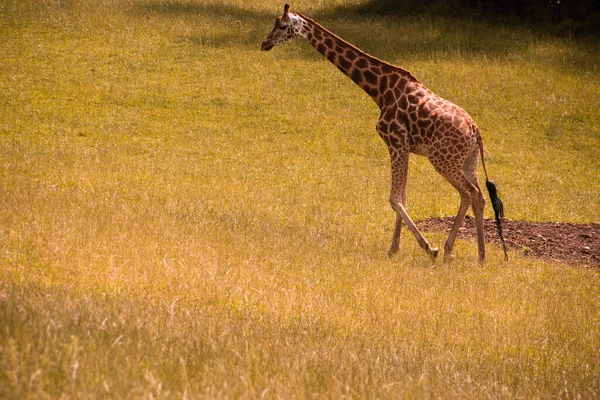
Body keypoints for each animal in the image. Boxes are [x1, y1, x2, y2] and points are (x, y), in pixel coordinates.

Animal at [262, 4, 506, 264]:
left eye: (282, 25)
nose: (265, 43)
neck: (379, 90)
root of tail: (475, 132)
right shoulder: (405, 147)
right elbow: (403, 197)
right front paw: (394, 248)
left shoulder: (396, 142)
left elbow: (394, 198)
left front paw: (428, 248)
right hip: (468, 161)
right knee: (479, 197)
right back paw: (479, 256)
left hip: (442, 159)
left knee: (469, 193)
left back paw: (452, 250)